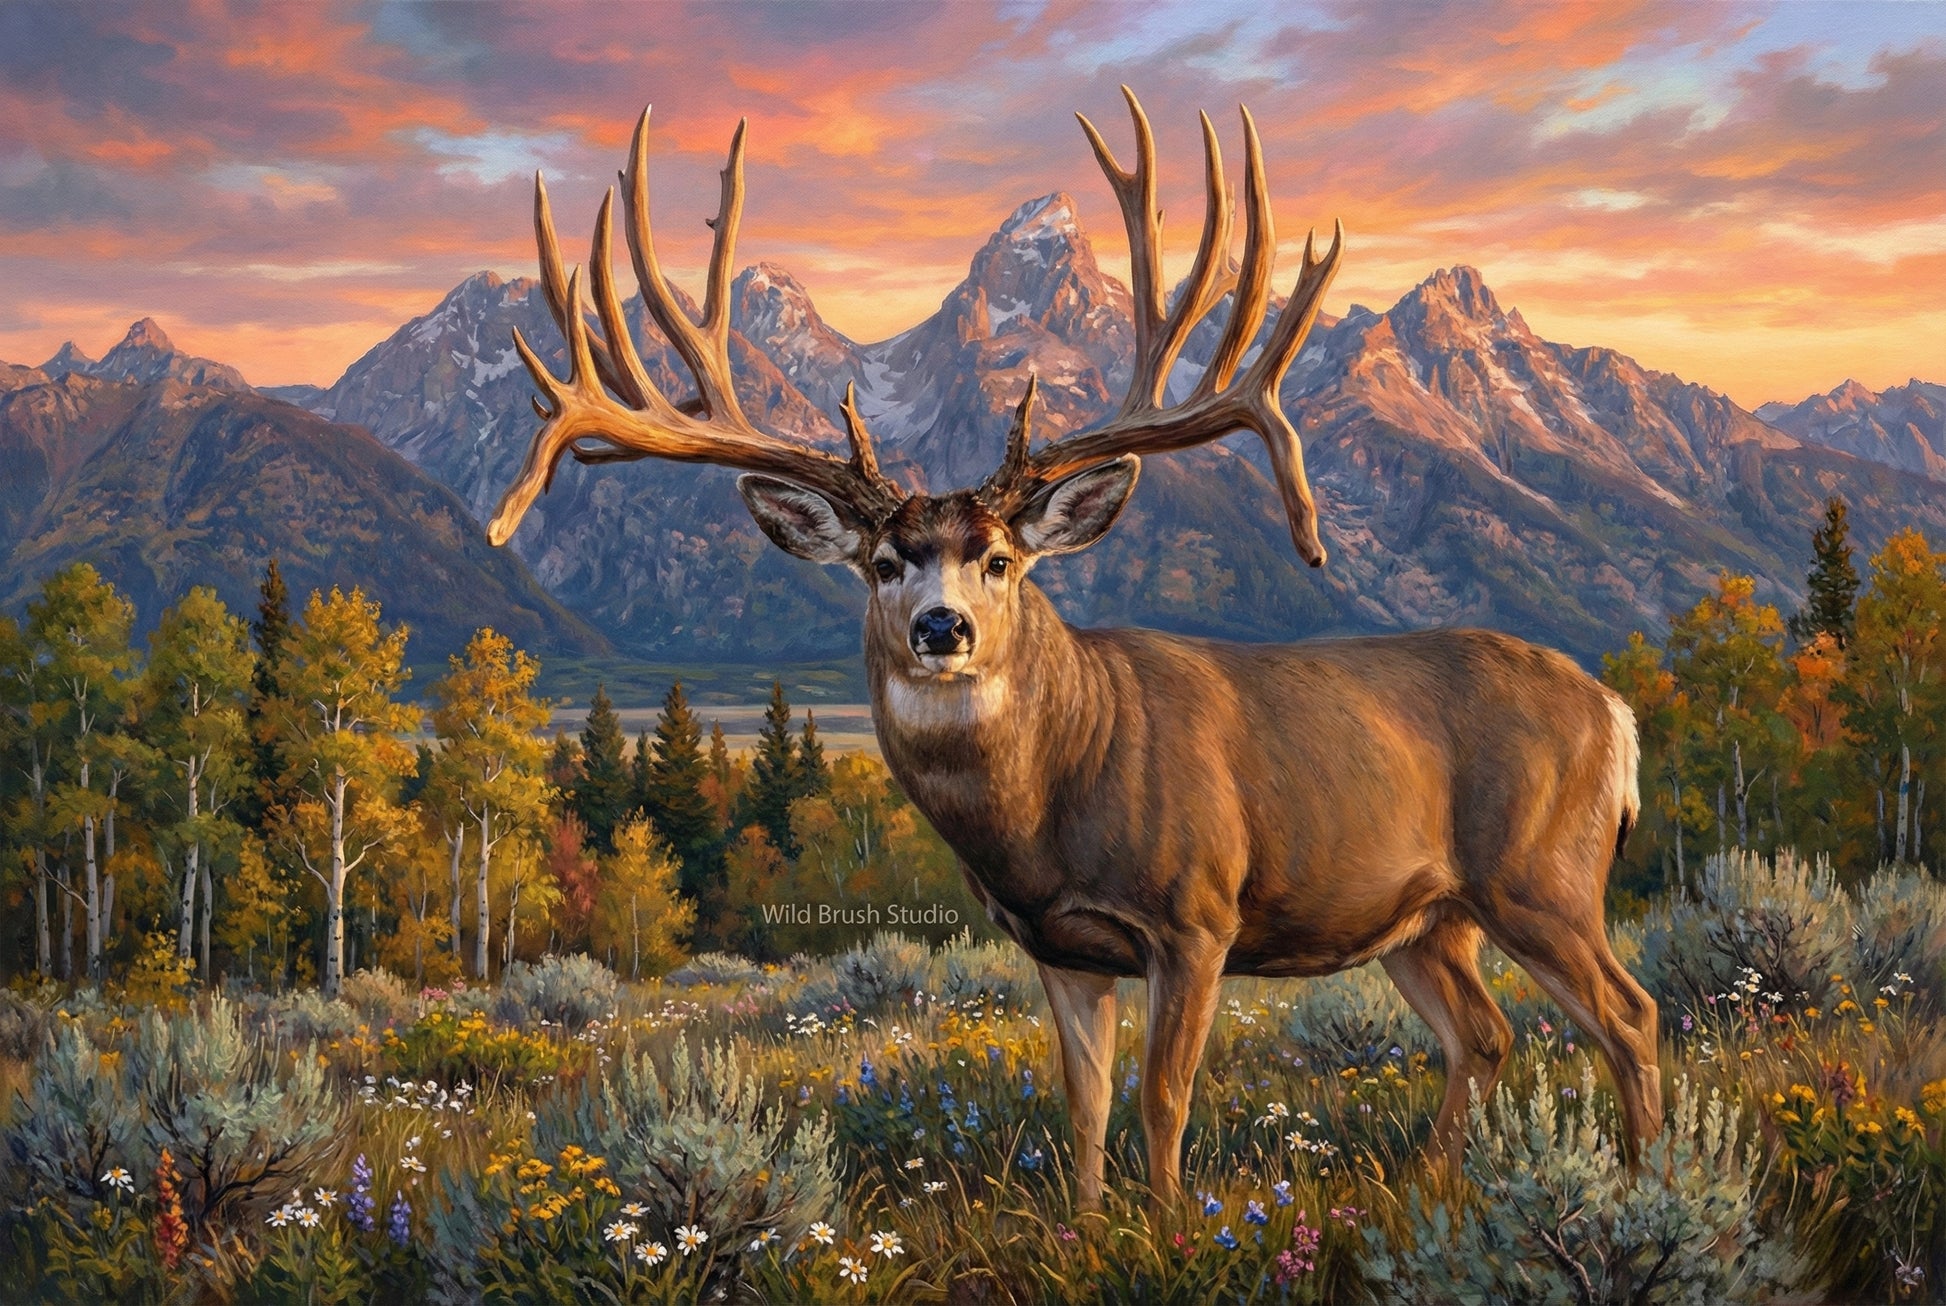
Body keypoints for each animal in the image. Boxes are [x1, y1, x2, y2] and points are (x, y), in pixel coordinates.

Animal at [486, 90, 1662, 1212]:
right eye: (881, 561)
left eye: (1002, 558)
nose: (943, 627)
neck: (1052, 807)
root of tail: (1617, 712)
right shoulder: (1058, 945)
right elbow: (1084, 1100)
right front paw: (1091, 1227)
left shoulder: (1196, 914)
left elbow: (1162, 1096)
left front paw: (1169, 1228)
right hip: (1426, 917)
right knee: (1486, 1033)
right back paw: (1438, 1184)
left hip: (1542, 873)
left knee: (1631, 1013)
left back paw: (1643, 1183)